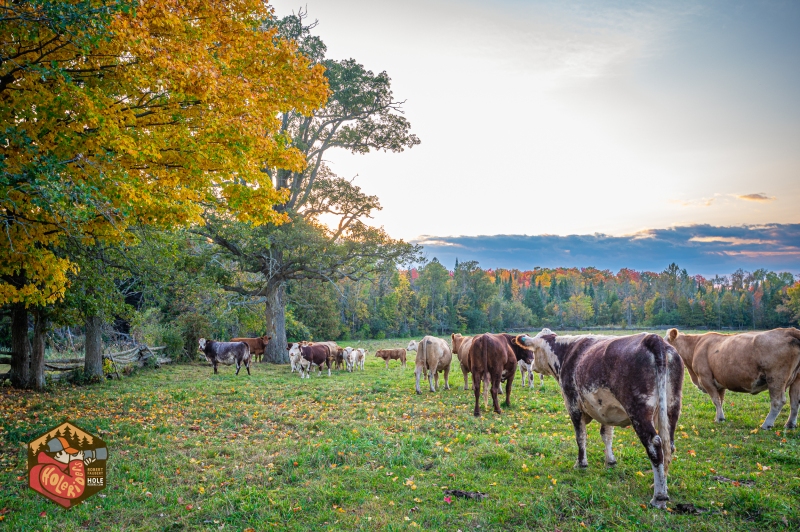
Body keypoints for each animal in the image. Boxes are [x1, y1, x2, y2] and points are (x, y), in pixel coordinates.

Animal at [512, 330, 680, 510]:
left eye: (534, 351)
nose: (532, 365)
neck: (566, 352)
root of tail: (653, 338)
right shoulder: (606, 410)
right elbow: (606, 435)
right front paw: (610, 461)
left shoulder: (573, 404)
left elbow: (580, 436)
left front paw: (581, 464)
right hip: (671, 407)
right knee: (668, 444)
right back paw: (660, 485)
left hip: (639, 411)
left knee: (654, 445)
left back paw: (659, 497)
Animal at [664, 326, 800, 430]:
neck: (695, 346)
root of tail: (789, 330)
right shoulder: (719, 382)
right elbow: (720, 400)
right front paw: (719, 417)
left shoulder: (705, 378)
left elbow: (715, 400)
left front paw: (719, 418)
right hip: (796, 379)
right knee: (795, 401)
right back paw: (790, 424)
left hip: (776, 378)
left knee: (778, 401)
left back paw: (766, 424)